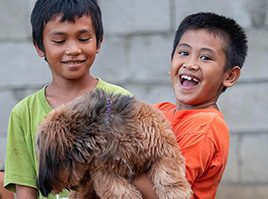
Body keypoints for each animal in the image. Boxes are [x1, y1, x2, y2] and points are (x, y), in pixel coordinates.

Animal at [36, 89, 193, 198]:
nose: (41, 186)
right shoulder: (104, 172)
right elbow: (120, 191)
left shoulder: (163, 148)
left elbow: (168, 175)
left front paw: (176, 194)